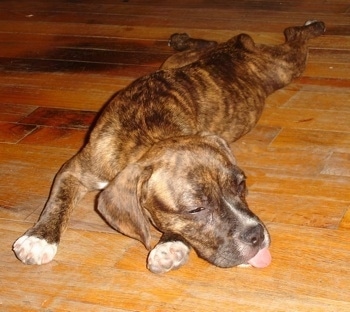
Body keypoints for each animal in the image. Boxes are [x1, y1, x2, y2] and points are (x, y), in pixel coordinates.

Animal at [13, 20, 326, 272]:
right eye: (195, 209)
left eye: (241, 185)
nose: (256, 235)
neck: (148, 135)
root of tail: (237, 45)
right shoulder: (75, 170)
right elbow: (58, 202)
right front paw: (39, 238)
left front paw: (169, 245)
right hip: (183, 61)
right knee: (218, 42)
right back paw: (183, 38)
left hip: (284, 68)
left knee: (293, 36)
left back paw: (313, 26)